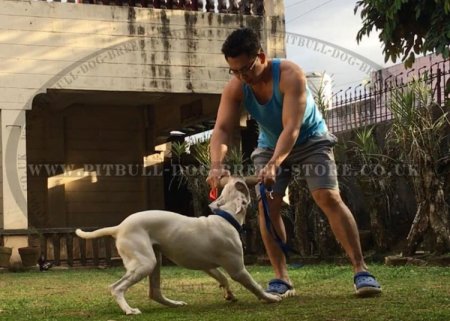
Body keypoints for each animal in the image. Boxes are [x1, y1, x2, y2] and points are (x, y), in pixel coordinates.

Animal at [75, 176, 280, 314]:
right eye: (242, 188)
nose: (237, 177)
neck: (226, 217)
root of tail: (118, 227)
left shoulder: (208, 267)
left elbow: (222, 278)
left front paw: (229, 294)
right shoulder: (238, 270)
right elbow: (255, 286)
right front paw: (271, 297)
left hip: (154, 262)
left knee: (155, 293)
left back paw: (174, 304)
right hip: (145, 263)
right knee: (116, 288)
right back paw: (129, 310)